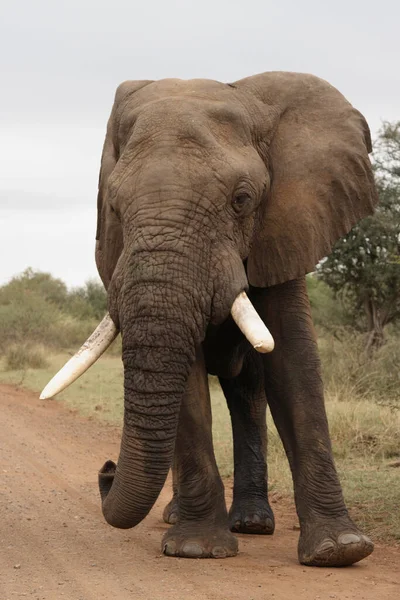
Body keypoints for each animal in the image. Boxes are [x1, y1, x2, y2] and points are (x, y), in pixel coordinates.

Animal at [40, 71, 378, 568]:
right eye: (114, 209)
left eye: (242, 200)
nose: (106, 468)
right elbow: (189, 382)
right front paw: (196, 549)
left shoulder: (285, 228)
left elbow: (293, 363)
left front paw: (340, 550)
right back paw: (179, 517)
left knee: (249, 392)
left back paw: (253, 523)